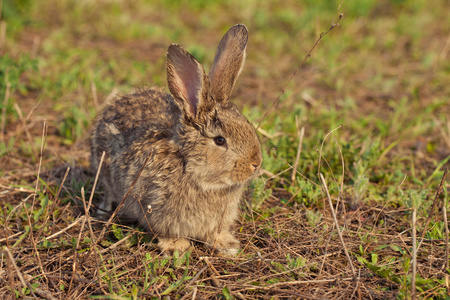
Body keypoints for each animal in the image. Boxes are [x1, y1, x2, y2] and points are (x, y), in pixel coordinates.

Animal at [90, 24, 262, 256]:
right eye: (219, 140)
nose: (256, 163)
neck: (192, 168)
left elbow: (214, 233)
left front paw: (226, 245)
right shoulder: (156, 208)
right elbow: (166, 232)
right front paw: (177, 248)